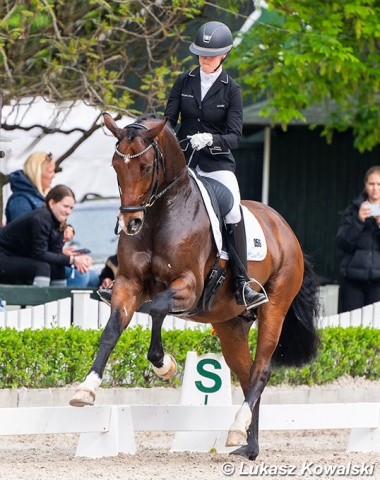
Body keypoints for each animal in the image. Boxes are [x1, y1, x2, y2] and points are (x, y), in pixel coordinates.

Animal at [69, 112, 320, 462]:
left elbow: (156, 309)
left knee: (261, 371)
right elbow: (113, 329)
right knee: (246, 374)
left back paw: (237, 428)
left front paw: (165, 365)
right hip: (230, 325)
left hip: (275, 309)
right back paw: (247, 444)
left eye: (146, 167)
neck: (160, 214)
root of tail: (285, 228)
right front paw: (86, 389)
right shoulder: (127, 284)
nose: (131, 224)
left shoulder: (188, 287)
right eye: (115, 166)